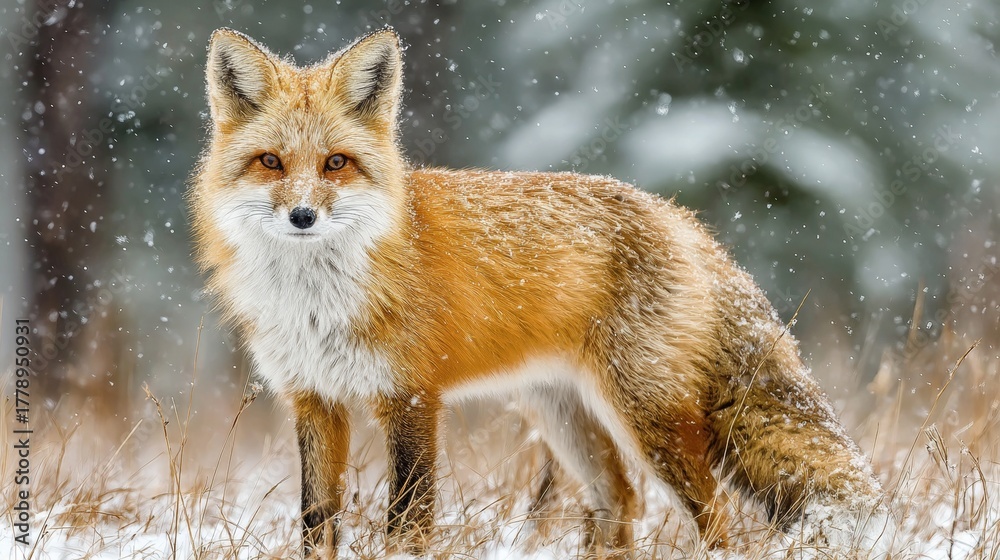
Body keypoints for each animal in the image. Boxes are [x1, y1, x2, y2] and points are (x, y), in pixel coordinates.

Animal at [190, 27, 894, 558]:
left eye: (335, 163)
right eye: (271, 162)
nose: (302, 216)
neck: (317, 303)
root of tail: (681, 218)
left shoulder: (411, 397)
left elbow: (407, 524)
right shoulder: (314, 400)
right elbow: (317, 524)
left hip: (649, 420)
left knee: (715, 519)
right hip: (565, 417)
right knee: (620, 501)